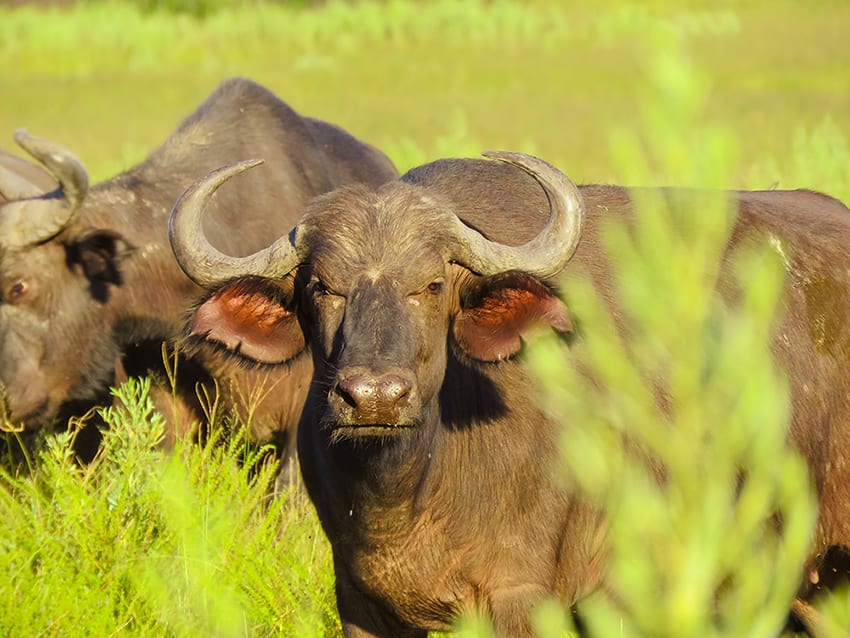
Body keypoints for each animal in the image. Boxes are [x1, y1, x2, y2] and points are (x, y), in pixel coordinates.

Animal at [168, 152, 850, 636]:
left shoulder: (526, 597)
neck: (414, 491)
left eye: (432, 284)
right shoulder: (358, 598)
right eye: (320, 287)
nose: (375, 397)